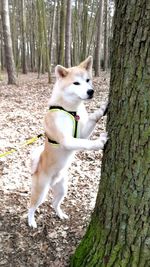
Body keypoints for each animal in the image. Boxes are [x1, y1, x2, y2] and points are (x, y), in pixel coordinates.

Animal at [27, 56, 108, 228]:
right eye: (76, 83)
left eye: (88, 80)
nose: (91, 91)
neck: (71, 110)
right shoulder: (67, 140)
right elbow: (85, 144)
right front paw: (99, 142)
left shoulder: (82, 133)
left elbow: (93, 118)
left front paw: (102, 109)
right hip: (41, 191)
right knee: (31, 206)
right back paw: (31, 221)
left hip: (62, 188)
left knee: (54, 204)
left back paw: (61, 215)